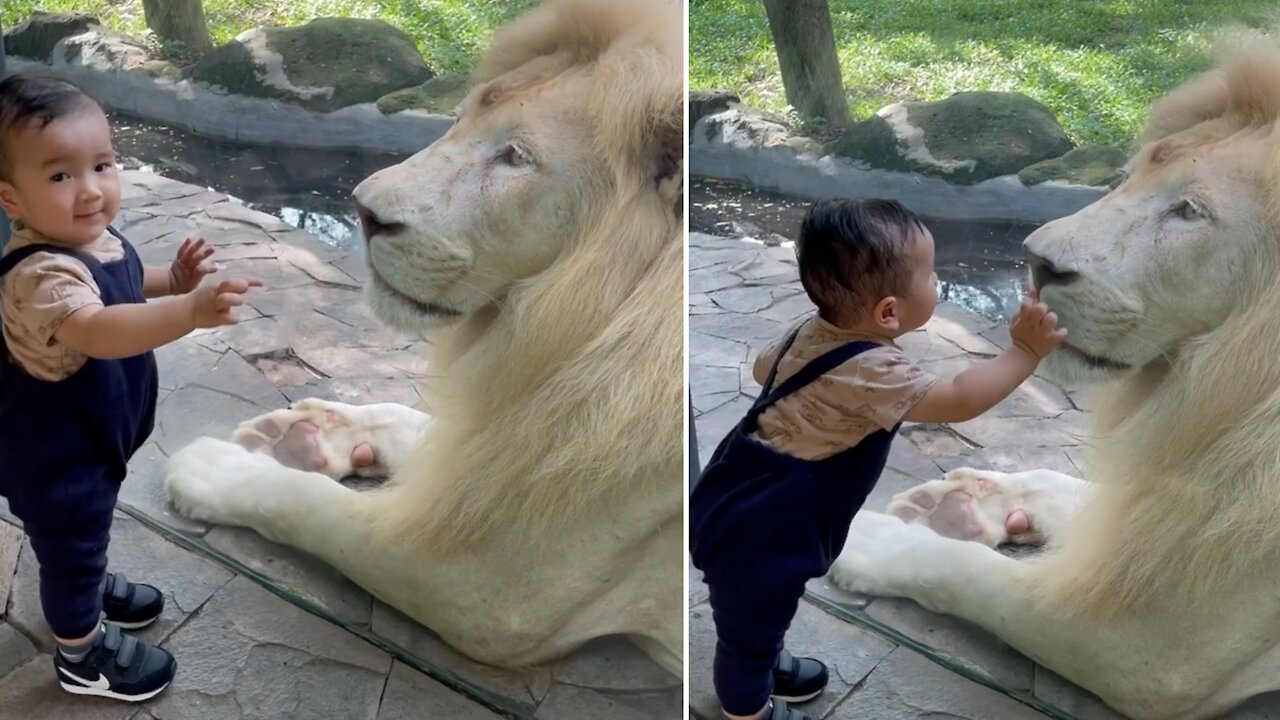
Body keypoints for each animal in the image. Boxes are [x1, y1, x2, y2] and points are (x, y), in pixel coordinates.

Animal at [163, 0, 686, 671]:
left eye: (515, 157)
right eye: (458, 121)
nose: (362, 212)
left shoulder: (487, 590)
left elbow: (309, 506)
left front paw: (214, 468)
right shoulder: (506, 440)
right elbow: (416, 426)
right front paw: (313, 434)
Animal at [829, 39, 1280, 717]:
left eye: (1190, 211)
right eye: (1130, 175)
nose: (1035, 262)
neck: (1221, 398)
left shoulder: (1155, 652)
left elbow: (967, 574)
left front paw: (870, 540)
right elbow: (1066, 489)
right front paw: (968, 499)